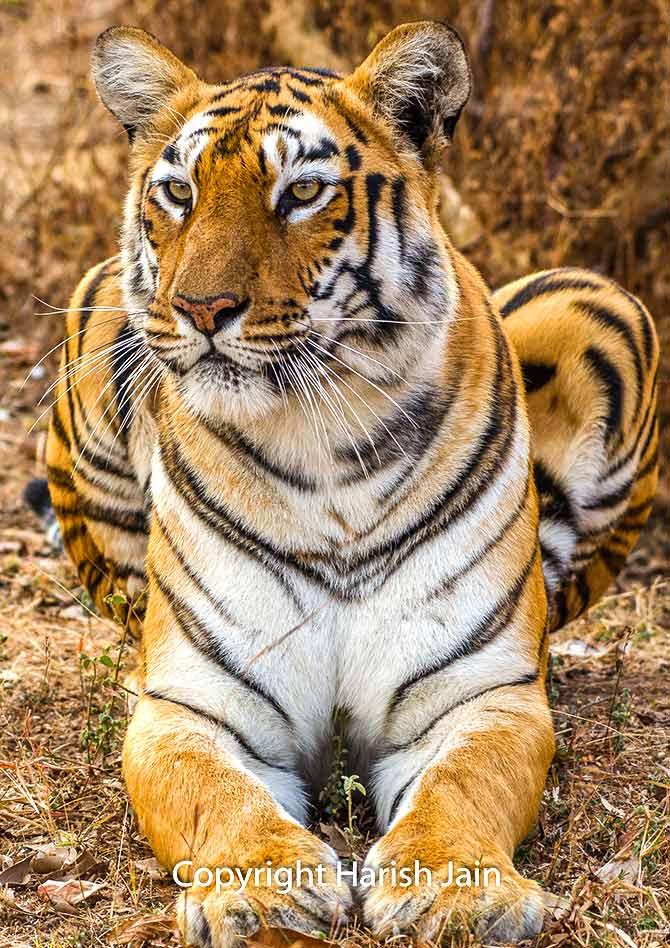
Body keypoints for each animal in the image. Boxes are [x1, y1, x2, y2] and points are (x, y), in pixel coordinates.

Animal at [39, 22, 664, 948]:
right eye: (180, 192)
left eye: (301, 192)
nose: (201, 308)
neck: (322, 448)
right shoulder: (193, 704)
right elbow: (217, 796)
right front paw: (259, 887)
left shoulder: (479, 696)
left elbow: (461, 788)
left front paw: (456, 888)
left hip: (603, 302)